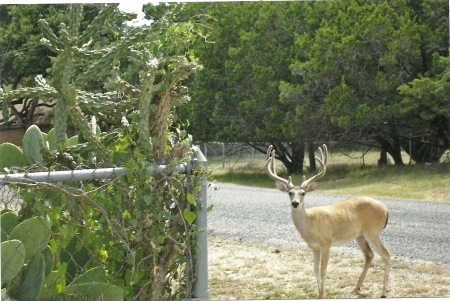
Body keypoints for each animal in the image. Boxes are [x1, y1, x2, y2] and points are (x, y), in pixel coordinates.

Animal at [264, 144, 390, 296]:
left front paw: (323, 294)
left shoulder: (326, 242)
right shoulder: (314, 247)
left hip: (372, 231)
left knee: (386, 254)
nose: (295, 203)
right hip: (359, 235)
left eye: (303, 193)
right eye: (290, 193)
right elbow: (315, 269)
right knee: (370, 255)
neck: (310, 224)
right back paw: (356, 288)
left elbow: (323, 270)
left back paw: (384, 292)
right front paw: (319, 294)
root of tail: (386, 209)